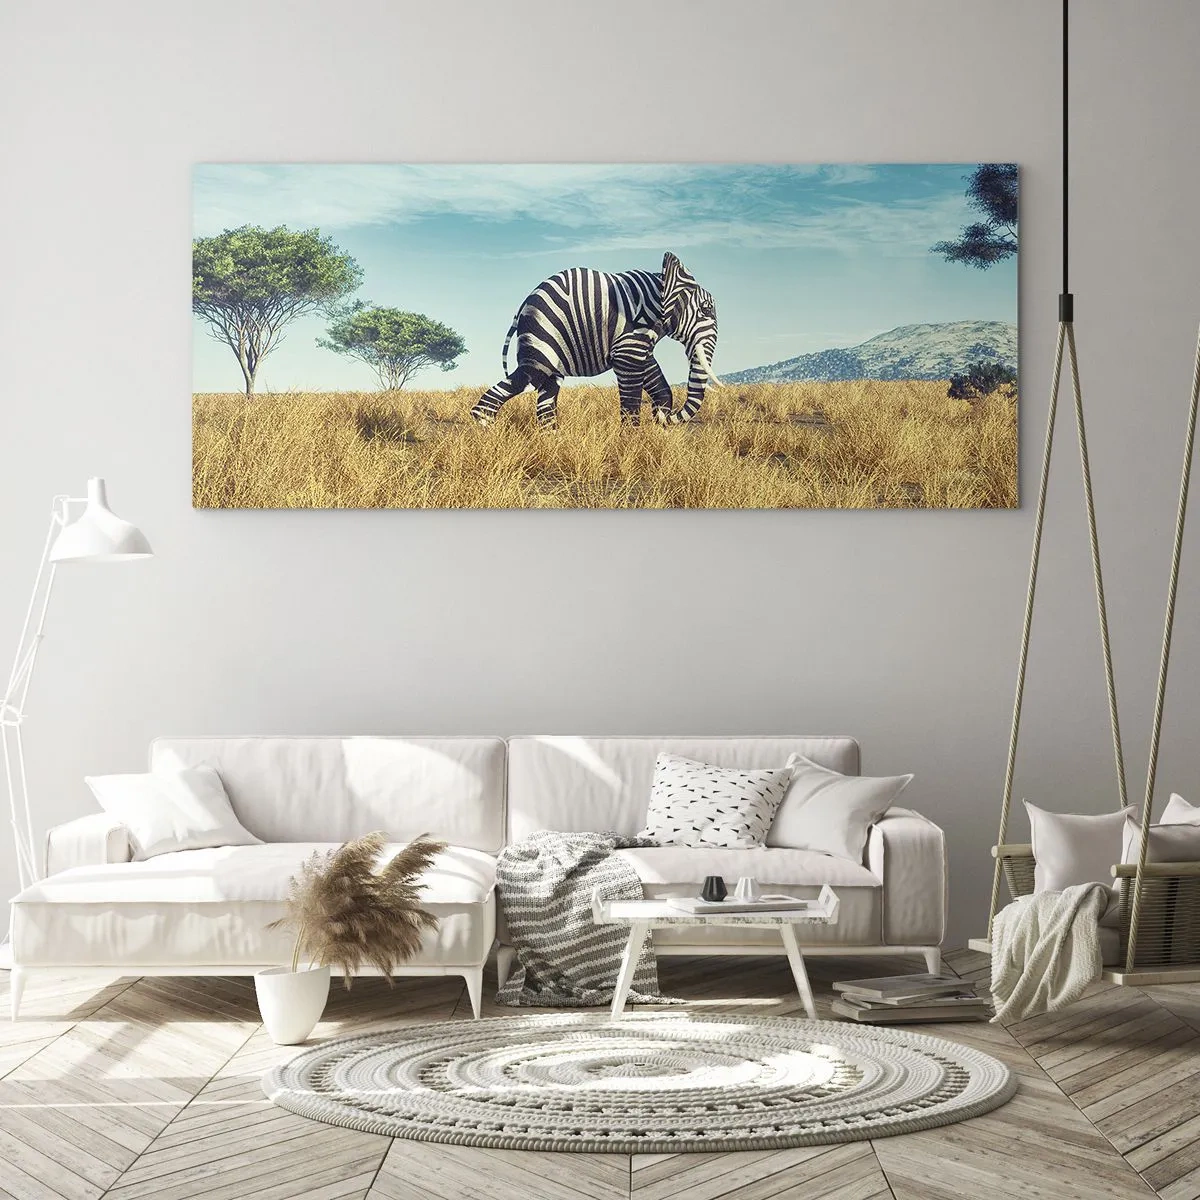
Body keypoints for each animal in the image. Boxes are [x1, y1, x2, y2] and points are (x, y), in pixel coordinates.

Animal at [471, 252, 723, 429]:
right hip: (542, 336)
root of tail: (522, 305)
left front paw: (657, 429)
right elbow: (631, 398)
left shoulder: (640, 342)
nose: (664, 418)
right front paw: (632, 446)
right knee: (528, 379)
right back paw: (488, 435)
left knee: (547, 397)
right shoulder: (629, 338)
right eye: (706, 310)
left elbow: (660, 387)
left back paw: (553, 445)